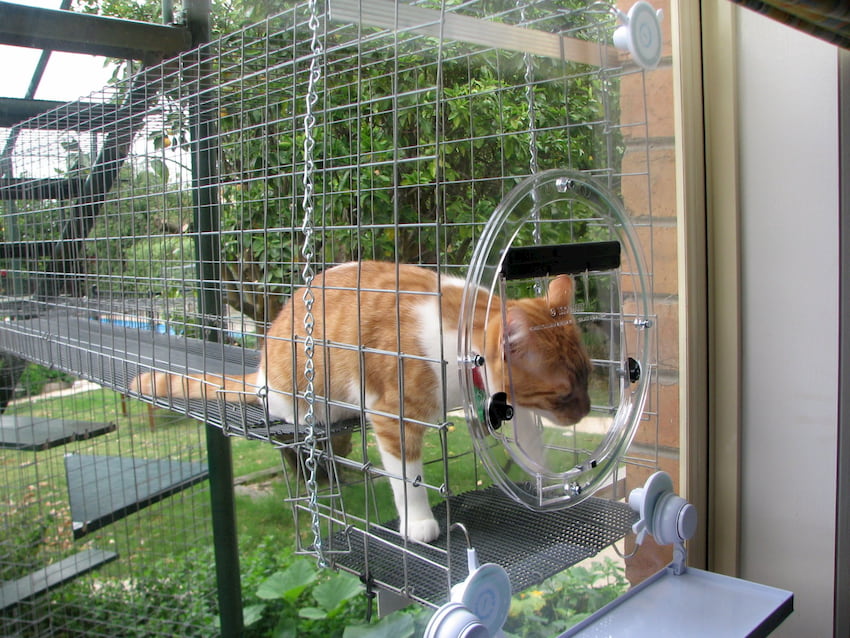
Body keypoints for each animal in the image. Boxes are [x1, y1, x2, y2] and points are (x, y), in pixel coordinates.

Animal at [134, 262, 588, 544]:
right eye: (565, 393)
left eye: (588, 378)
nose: (584, 411)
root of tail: (261, 371)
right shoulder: (393, 417)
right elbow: (409, 480)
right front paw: (419, 522)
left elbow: (530, 441)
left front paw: (547, 483)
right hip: (303, 396)